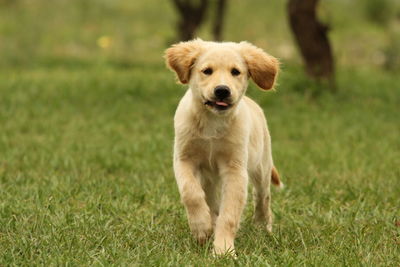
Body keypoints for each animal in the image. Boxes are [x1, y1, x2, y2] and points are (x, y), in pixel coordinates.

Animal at [164, 39, 282, 255]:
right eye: (207, 71)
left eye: (235, 72)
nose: (222, 90)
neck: (212, 121)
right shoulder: (184, 159)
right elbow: (191, 193)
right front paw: (202, 228)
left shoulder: (235, 169)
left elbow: (229, 214)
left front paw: (223, 251)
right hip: (208, 179)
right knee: (210, 199)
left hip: (261, 167)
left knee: (262, 197)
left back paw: (263, 227)